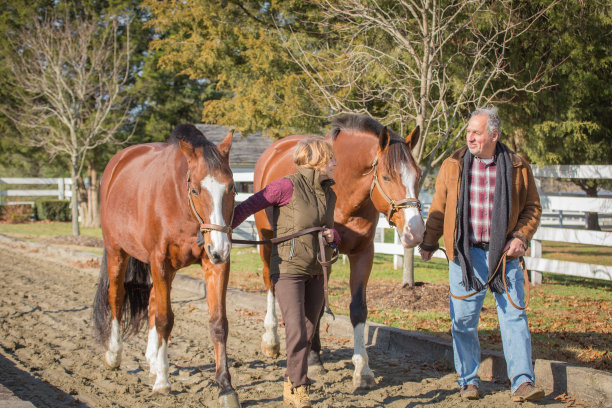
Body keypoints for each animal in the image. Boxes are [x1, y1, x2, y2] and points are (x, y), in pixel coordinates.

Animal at [93, 124, 241, 408]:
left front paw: (225, 387)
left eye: (231, 188)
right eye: (195, 190)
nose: (220, 249)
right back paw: (114, 354)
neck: (181, 205)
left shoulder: (213, 265)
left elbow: (218, 324)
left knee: (151, 300)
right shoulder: (159, 261)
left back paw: (152, 358)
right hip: (117, 251)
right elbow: (164, 320)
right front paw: (162, 381)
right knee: (116, 297)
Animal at [255, 114, 426, 388]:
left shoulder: (362, 253)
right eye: (387, 177)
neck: (344, 190)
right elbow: (315, 306)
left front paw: (362, 370)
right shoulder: (320, 250)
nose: (416, 231)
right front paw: (314, 360)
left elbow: (356, 308)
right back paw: (271, 341)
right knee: (270, 282)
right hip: (268, 240)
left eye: (418, 175)